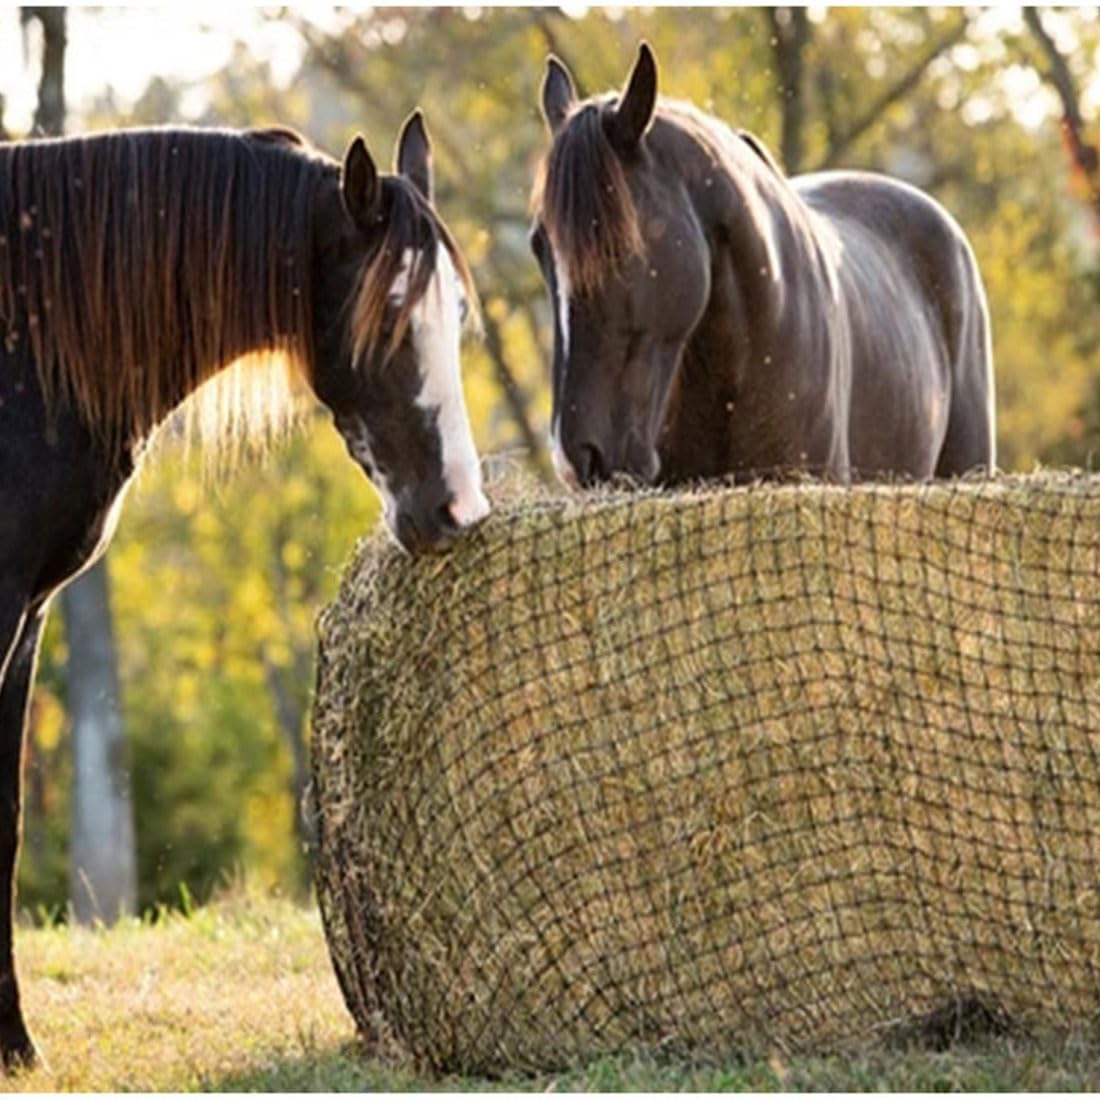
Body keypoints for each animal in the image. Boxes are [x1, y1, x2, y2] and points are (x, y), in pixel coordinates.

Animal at [0, 111, 489, 1067]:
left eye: (455, 313)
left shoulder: (25, 623)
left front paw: (12, 1045)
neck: (26, 346)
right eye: (390, 313)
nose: (459, 509)